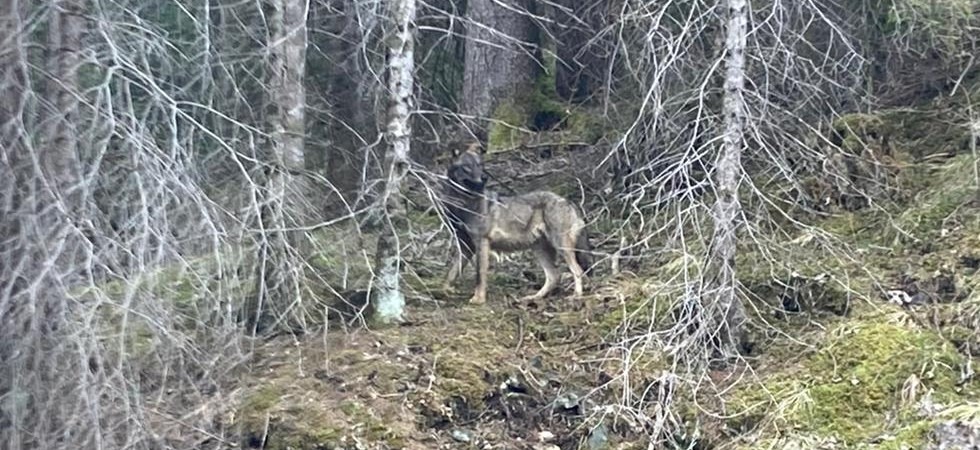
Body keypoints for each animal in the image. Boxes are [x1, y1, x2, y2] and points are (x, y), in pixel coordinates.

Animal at [441, 143, 593, 304]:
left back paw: (576, 296)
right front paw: (444, 291)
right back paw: (533, 297)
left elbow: (479, 276)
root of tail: (568, 201)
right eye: (467, 166)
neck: (462, 206)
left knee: (577, 271)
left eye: (480, 165)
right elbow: (451, 273)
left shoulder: (481, 243)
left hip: (561, 246)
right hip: (539, 249)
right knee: (554, 276)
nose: (484, 178)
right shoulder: (465, 246)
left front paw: (478, 299)